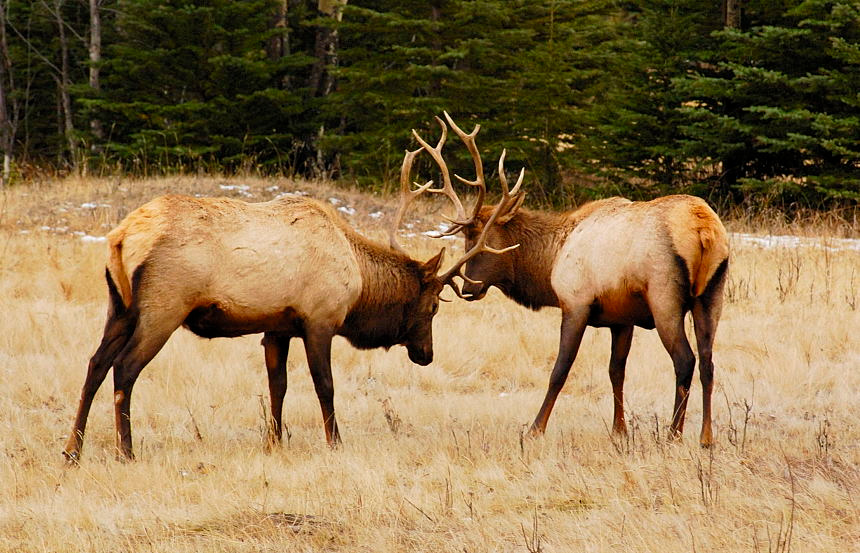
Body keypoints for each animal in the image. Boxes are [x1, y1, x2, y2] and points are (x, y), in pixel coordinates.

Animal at [62, 145, 515, 463]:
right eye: (433, 307)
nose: (426, 354)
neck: (358, 282)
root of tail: (122, 237)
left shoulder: (276, 327)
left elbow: (275, 387)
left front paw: (274, 442)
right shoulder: (320, 319)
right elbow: (324, 385)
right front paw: (335, 442)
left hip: (118, 305)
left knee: (95, 364)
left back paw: (72, 450)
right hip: (164, 305)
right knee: (124, 368)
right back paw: (126, 450)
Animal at [413, 112, 730, 448]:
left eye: (476, 238)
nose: (467, 287)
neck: (550, 261)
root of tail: (704, 229)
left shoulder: (575, 303)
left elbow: (559, 370)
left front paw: (535, 429)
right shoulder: (622, 318)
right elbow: (616, 371)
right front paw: (619, 430)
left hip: (664, 296)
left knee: (685, 360)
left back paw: (673, 434)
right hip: (712, 295)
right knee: (708, 362)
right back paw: (706, 437)